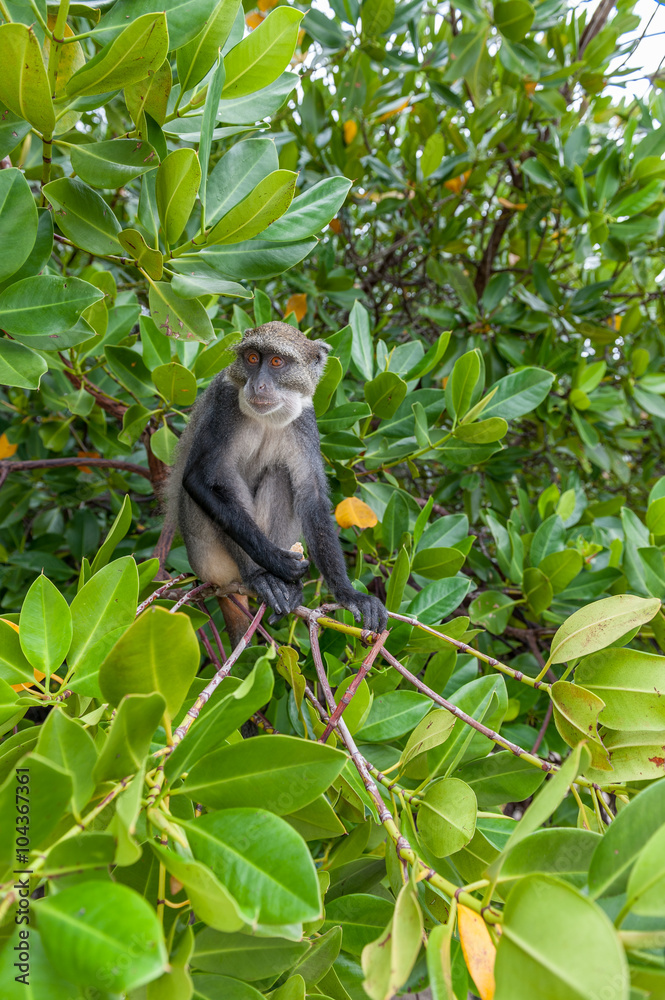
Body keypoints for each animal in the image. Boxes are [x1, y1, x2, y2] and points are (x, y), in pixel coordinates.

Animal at [166, 321, 388, 647]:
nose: (258, 385)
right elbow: (198, 479)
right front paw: (277, 562)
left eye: (276, 362)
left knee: (281, 475)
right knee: (224, 479)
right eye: (252, 358)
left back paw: (286, 588)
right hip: (206, 556)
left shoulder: (305, 419)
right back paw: (260, 577)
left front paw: (349, 595)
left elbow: (311, 495)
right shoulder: (224, 402)